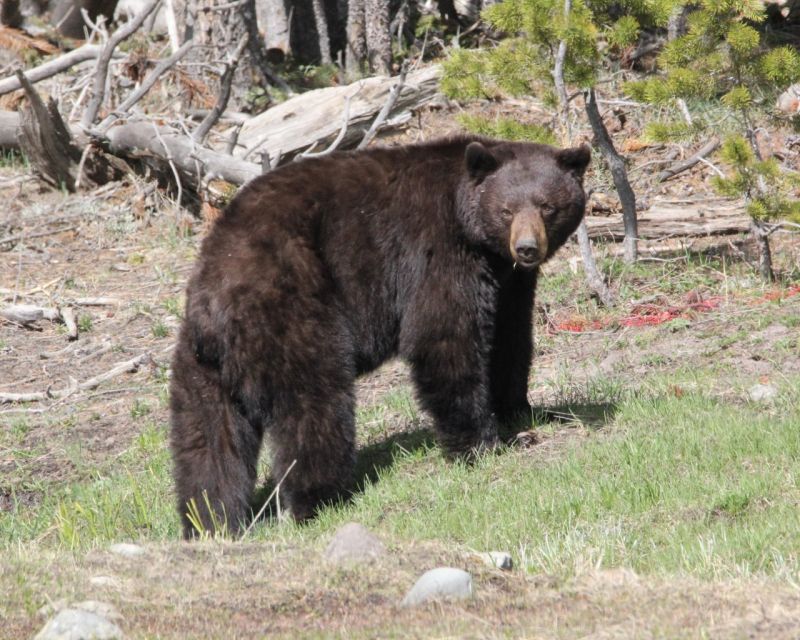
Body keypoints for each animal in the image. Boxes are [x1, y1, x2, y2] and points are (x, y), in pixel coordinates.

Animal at [170, 134, 588, 536]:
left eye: (548, 206)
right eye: (506, 210)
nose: (527, 248)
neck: (471, 228)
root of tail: (212, 304)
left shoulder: (509, 281)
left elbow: (510, 337)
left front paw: (520, 411)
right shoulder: (435, 253)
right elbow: (444, 337)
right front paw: (481, 443)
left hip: (199, 370)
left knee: (207, 442)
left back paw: (210, 520)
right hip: (292, 312)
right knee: (313, 406)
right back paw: (320, 499)